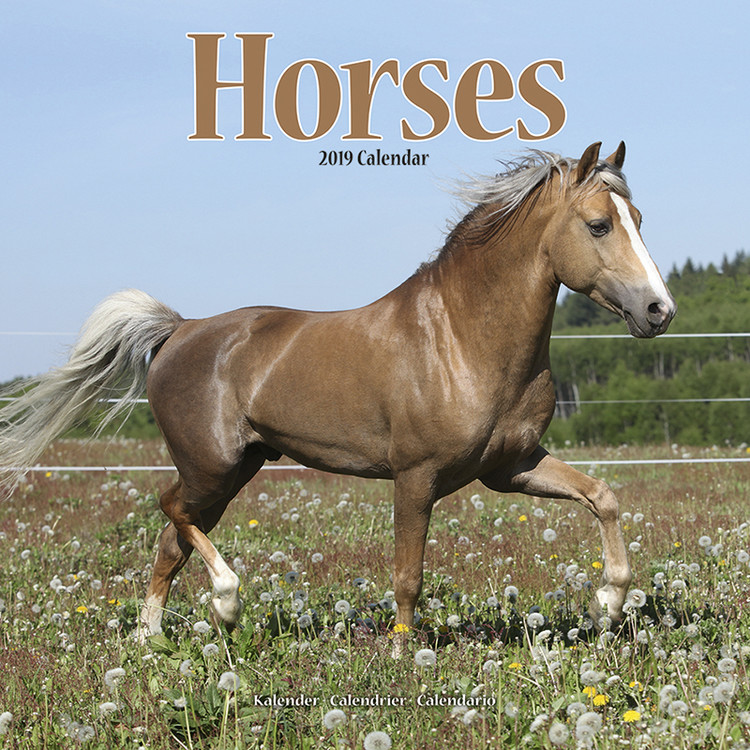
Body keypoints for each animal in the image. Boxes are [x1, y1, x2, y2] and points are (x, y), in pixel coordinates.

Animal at [0, 142, 676, 645]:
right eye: (598, 225)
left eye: (640, 222)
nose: (658, 311)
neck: (462, 335)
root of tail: (180, 330)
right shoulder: (416, 476)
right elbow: (408, 575)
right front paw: (402, 657)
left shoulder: (511, 468)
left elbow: (603, 497)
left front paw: (608, 604)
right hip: (210, 465)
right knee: (169, 509)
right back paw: (226, 603)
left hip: (236, 469)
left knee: (171, 539)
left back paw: (151, 638)